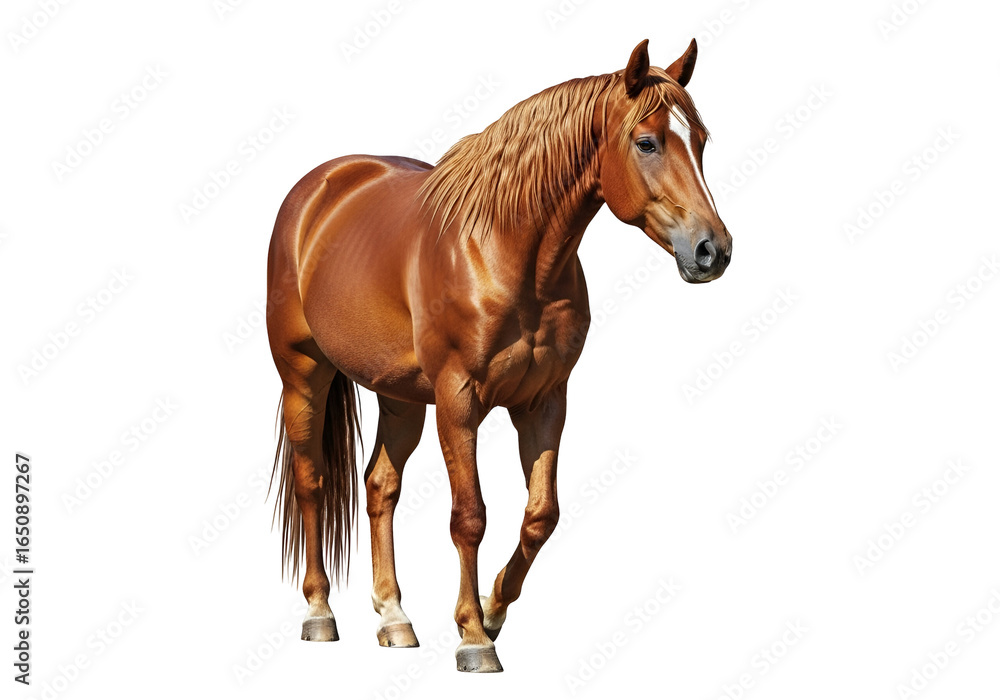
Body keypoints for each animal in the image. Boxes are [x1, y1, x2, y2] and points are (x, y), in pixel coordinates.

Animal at [266, 38, 731, 673]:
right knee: (312, 479)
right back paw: (319, 611)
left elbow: (540, 516)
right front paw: (472, 637)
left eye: (701, 140)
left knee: (380, 485)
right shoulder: (458, 401)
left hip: (399, 395)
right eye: (647, 142)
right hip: (303, 372)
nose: (713, 250)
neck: (507, 252)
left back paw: (394, 618)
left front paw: (492, 611)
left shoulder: (543, 401)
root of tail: (320, 187)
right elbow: (470, 516)